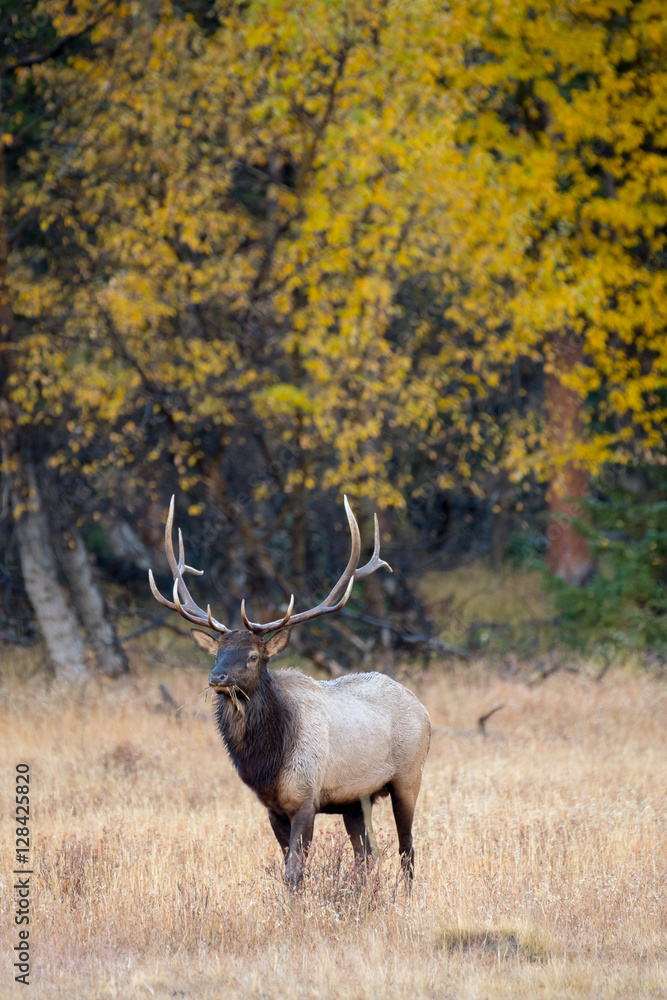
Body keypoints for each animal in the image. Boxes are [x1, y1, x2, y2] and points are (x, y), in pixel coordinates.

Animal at [149, 496, 431, 887]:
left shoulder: (306, 797)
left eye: (253, 656)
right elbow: (288, 866)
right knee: (367, 856)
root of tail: (423, 708)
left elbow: (295, 872)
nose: (217, 677)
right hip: (356, 800)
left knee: (407, 851)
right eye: (218, 653)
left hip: (408, 775)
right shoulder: (272, 807)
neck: (266, 762)